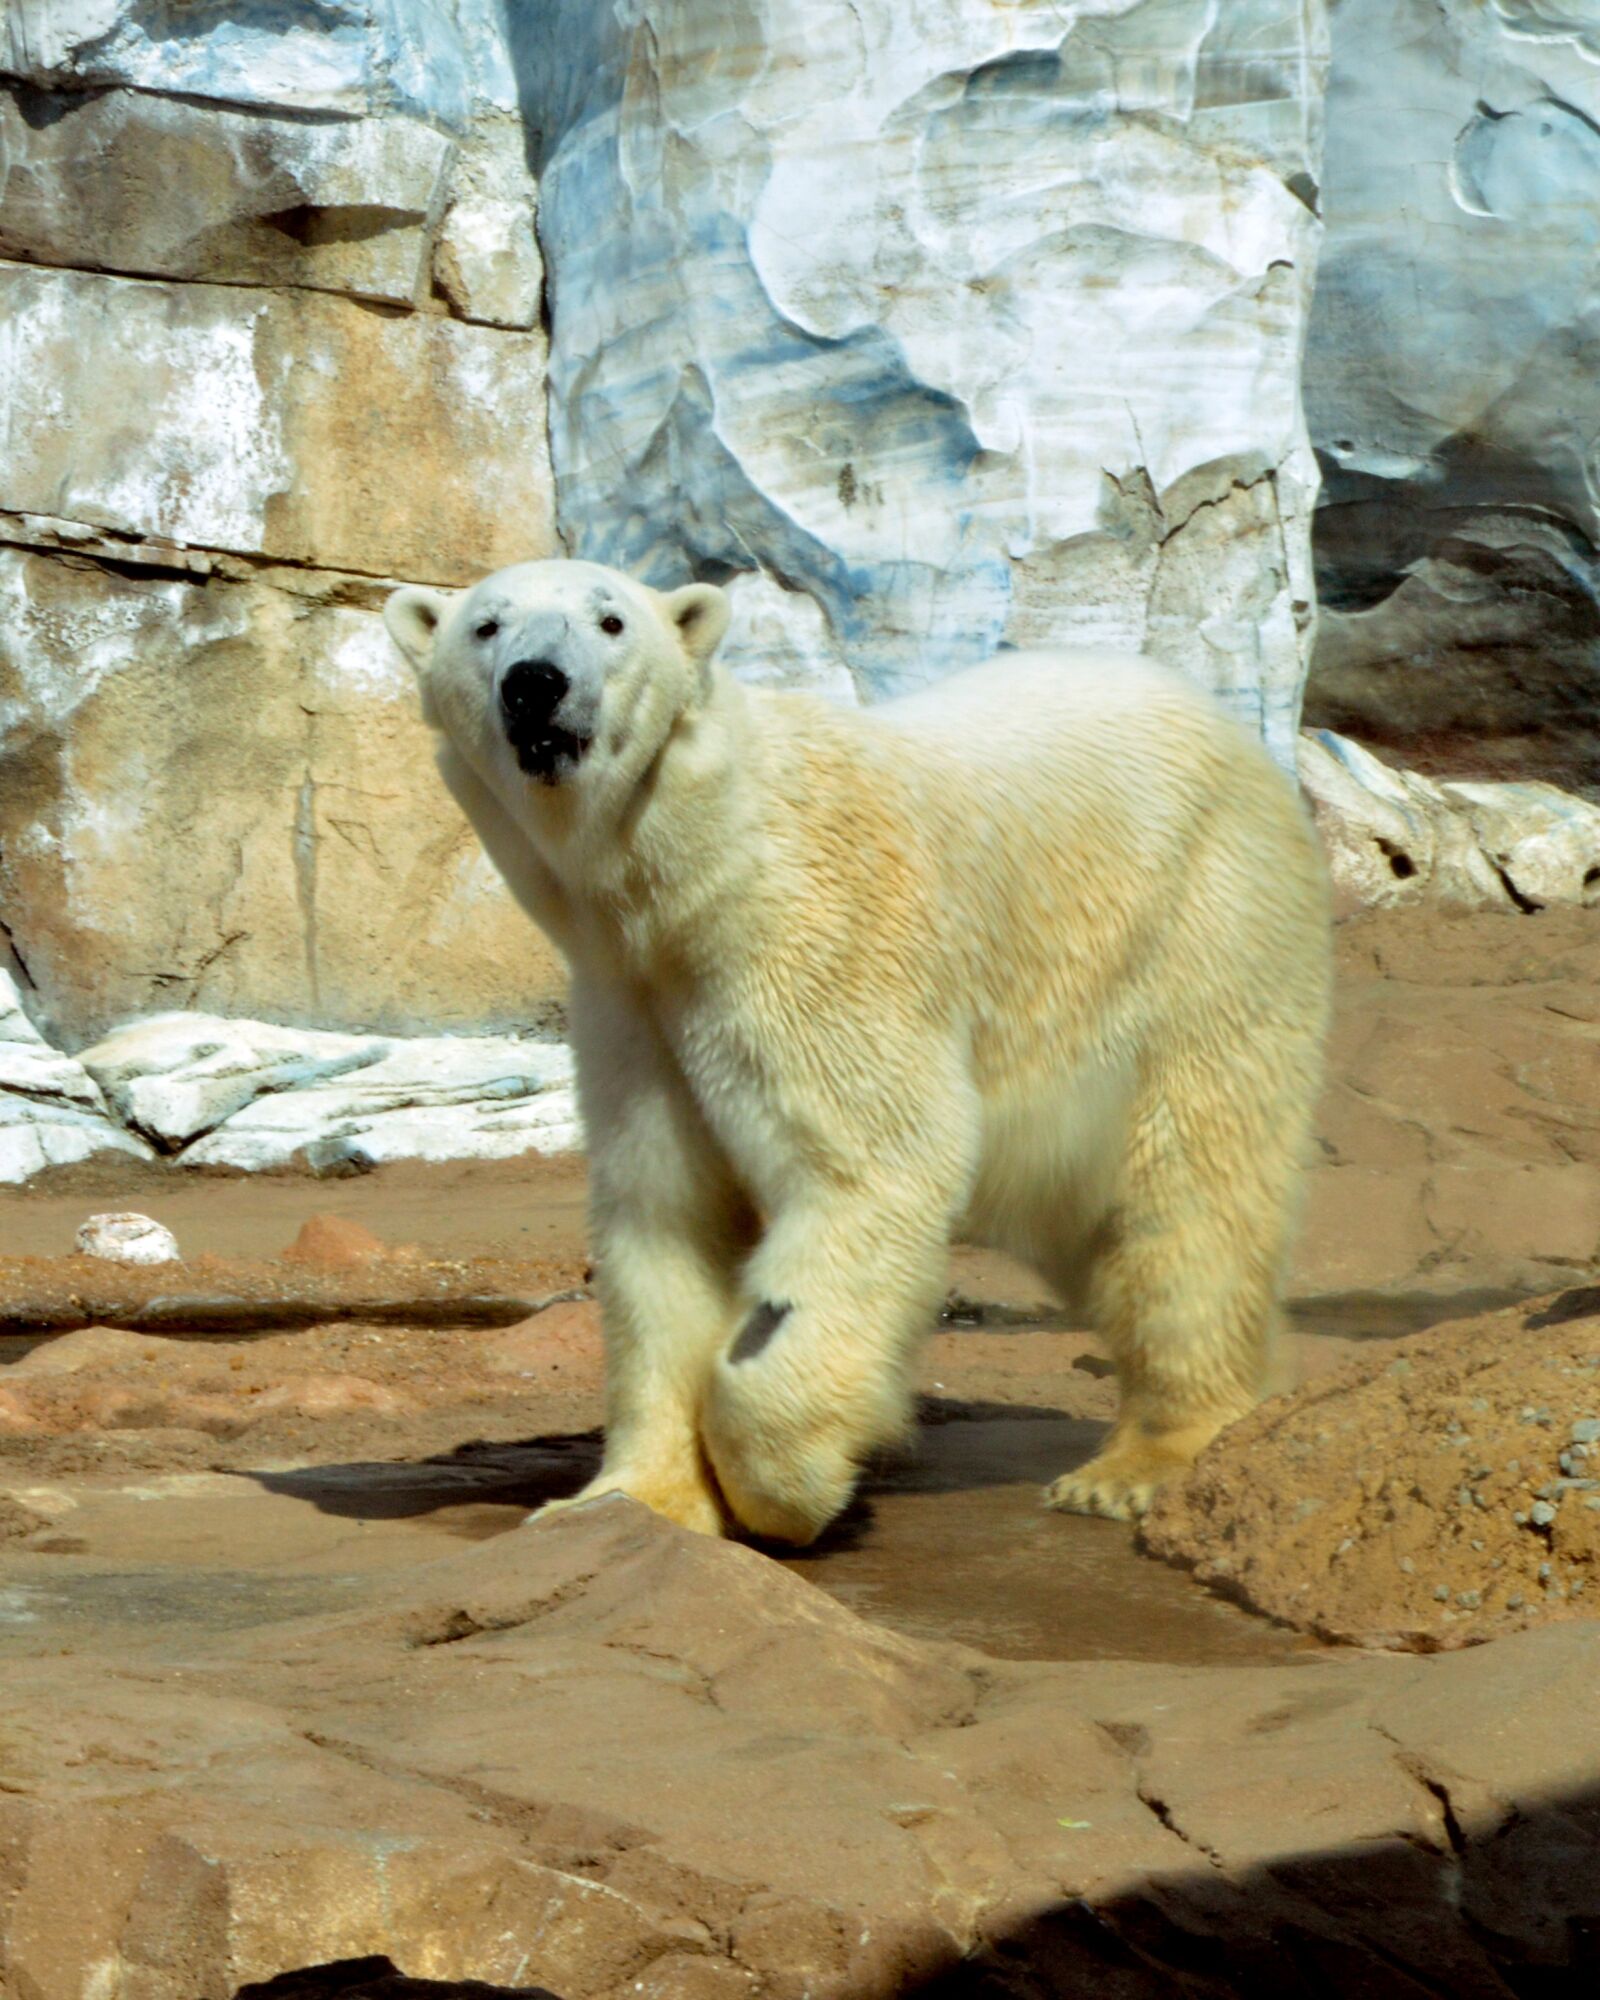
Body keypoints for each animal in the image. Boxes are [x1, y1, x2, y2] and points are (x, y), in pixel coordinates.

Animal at [384, 559, 1332, 1544]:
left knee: (1188, 1188)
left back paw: (1141, 1464)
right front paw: (630, 1498)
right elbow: (665, 1218)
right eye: (486, 625)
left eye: (611, 620)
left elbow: (870, 1165)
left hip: (1201, 922)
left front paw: (787, 1487)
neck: (691, 868)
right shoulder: (633, 1006)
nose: (536, 682)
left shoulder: (813, 943)